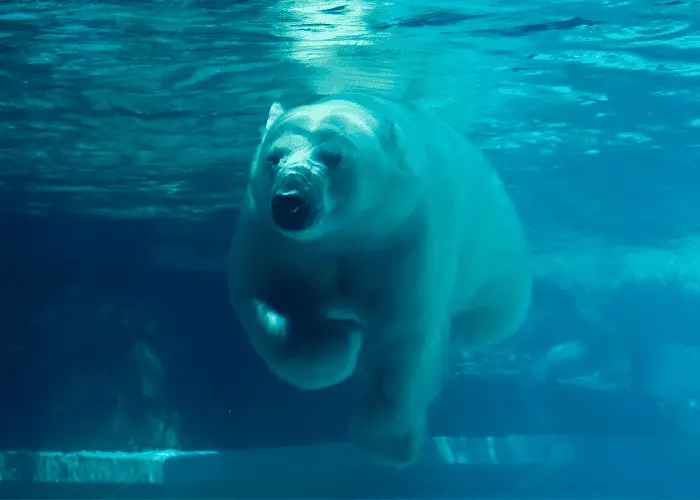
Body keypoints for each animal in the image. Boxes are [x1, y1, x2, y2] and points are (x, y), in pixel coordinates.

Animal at [228, 93, 532, 464]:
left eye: (333, 157)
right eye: (275, 157)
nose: (290, 202)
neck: (345, 236)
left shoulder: (405, 236)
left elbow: (402, 338)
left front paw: (390, 440)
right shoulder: (270, 239)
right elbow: (264, 299)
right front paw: (341, 340)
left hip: (497, 246)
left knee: (495, 317)